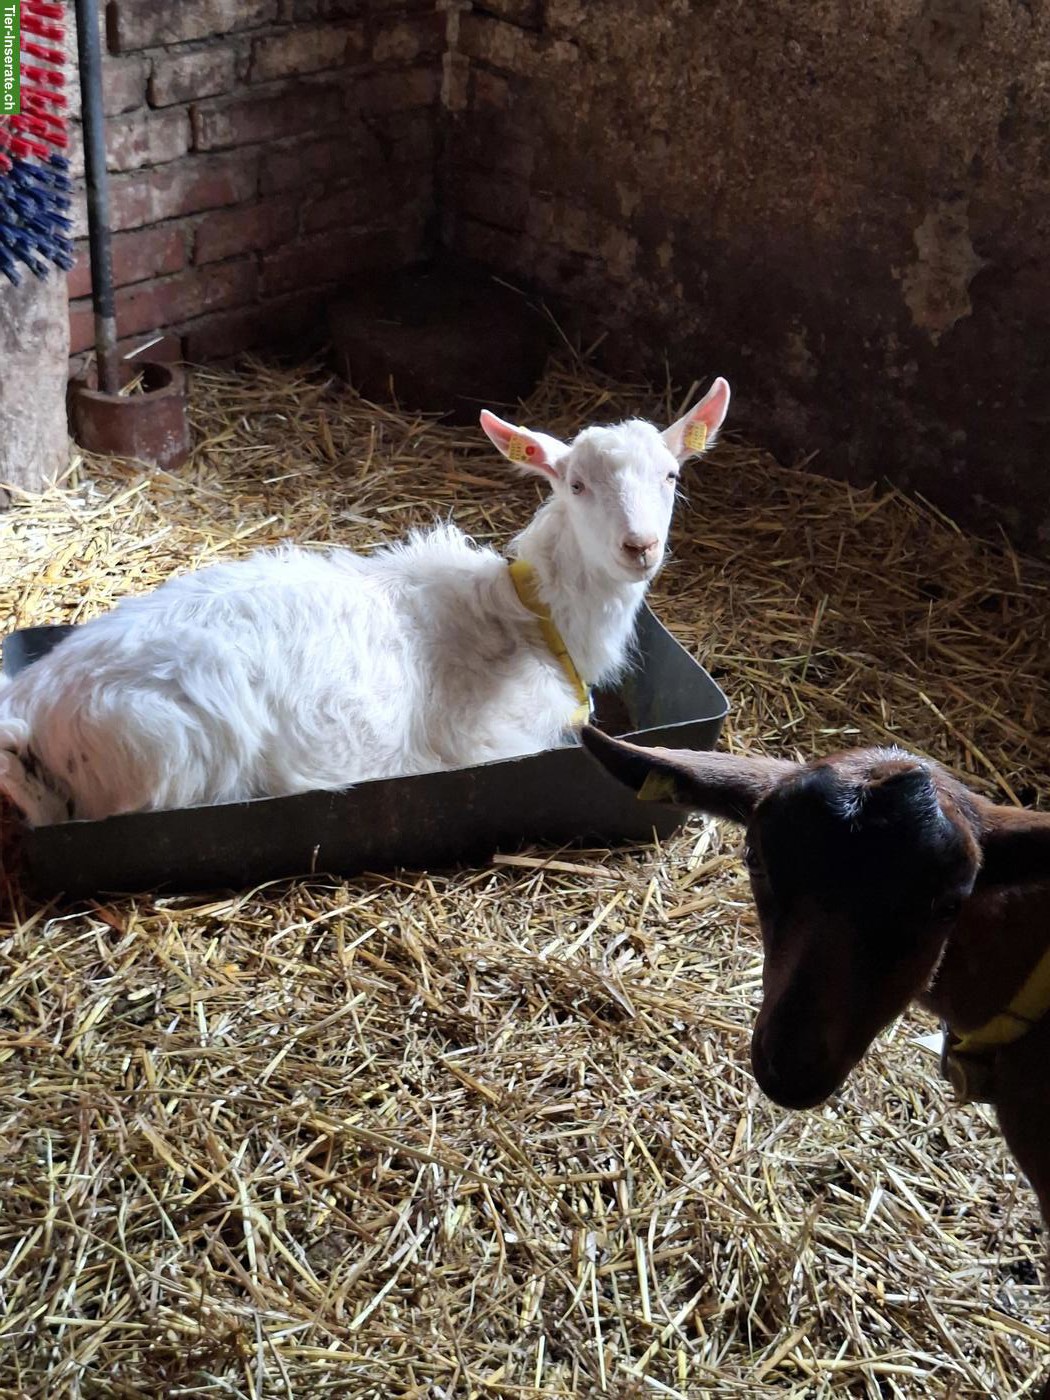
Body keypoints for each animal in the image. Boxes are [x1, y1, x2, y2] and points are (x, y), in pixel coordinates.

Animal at [0, 379, 730, 826]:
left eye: (671, 475)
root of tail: (32, 700)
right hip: (164, 759)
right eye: (575, 484)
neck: (533, 616)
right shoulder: (494, 740)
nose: (639, 546)